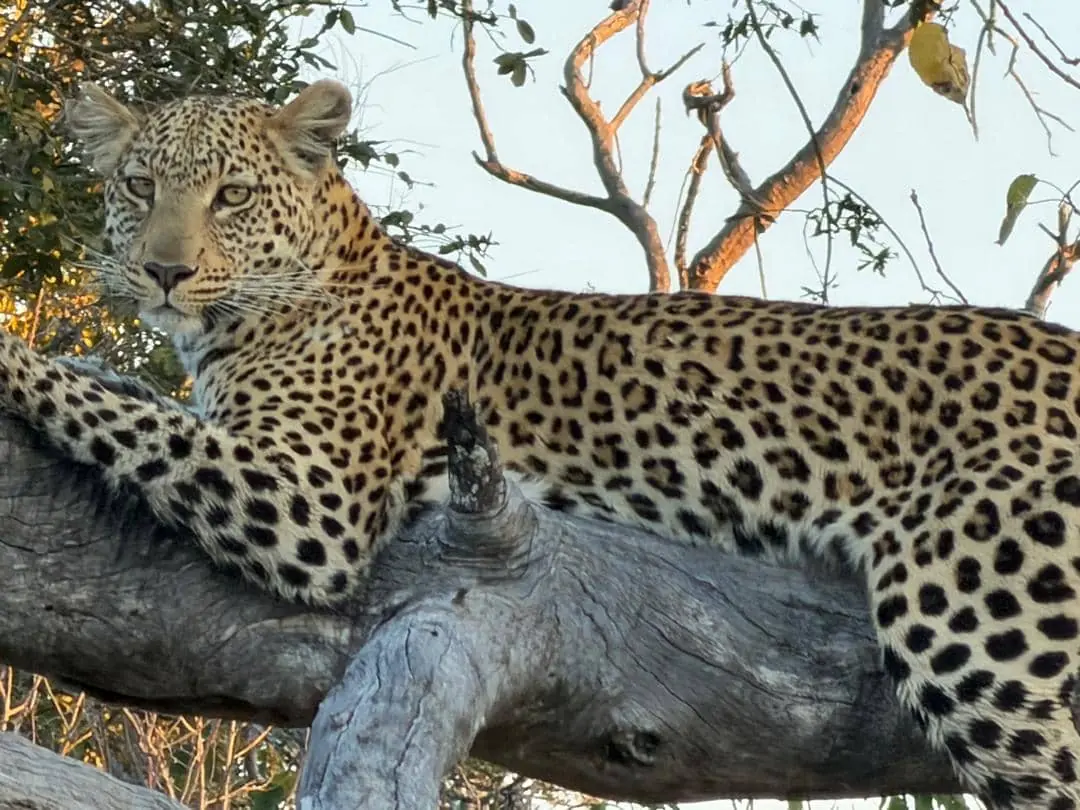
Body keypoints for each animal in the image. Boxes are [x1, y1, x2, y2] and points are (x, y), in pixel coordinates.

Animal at [0, 77, 1074, 808]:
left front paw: (13, 353)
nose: (164, 272)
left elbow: (132, 422)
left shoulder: (308, 499)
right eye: (138, 186)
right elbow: (136, 400)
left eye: (231, 195)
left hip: (980, 626)